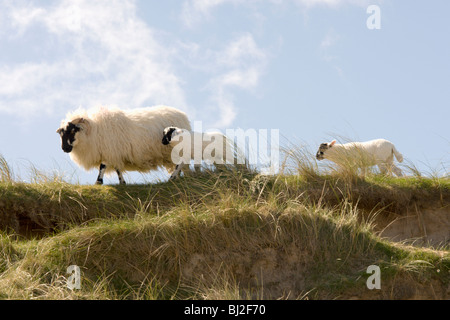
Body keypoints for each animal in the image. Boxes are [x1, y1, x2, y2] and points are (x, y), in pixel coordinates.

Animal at [57, 105, 191, 185]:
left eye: (73, 131)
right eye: (61, 134)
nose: (64, 148)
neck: (94, 131)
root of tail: (182, 115)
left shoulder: (110, 151)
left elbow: (102, 167)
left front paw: (98, 182)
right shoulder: (115, 153)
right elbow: (117, 169)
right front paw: (122, 182)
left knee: (181, 165)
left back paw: (177, 178)